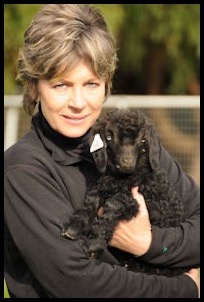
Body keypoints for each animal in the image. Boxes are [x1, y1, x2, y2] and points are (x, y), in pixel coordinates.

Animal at [61, 108, 191, 276]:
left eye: (143, 140)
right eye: (109, 136)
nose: (127, 163)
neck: (122, 178)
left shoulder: (148, 201)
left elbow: (115, 202)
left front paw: (95, 244)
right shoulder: (101, 187)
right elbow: (90, 202)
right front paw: (73, 227)